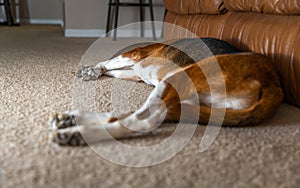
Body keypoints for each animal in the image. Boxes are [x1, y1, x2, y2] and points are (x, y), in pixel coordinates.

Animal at [49, 38, 284, 146]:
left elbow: (107, 63)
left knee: (142, 121)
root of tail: (273, 82)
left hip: (178, 79)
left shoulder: (135, 55)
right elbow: (112, 69)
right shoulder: (135, 72)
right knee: (139, 114)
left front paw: (91, 70)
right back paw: (70, 119)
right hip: (186, 101)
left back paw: (76, 133)